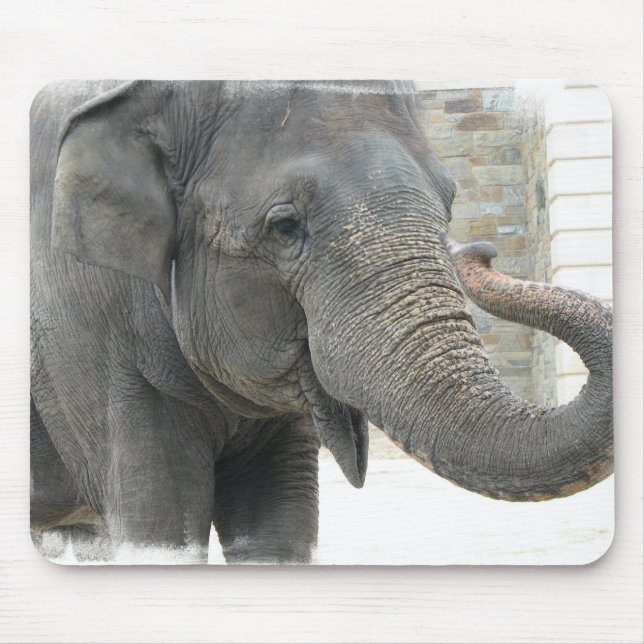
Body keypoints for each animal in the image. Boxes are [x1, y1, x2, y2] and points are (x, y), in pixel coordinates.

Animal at [30, 80, 613, 564]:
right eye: (285, 226)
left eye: (449, 204)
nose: (483, 250)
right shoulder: (86, 330)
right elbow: (161, 527)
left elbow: (278, 528)